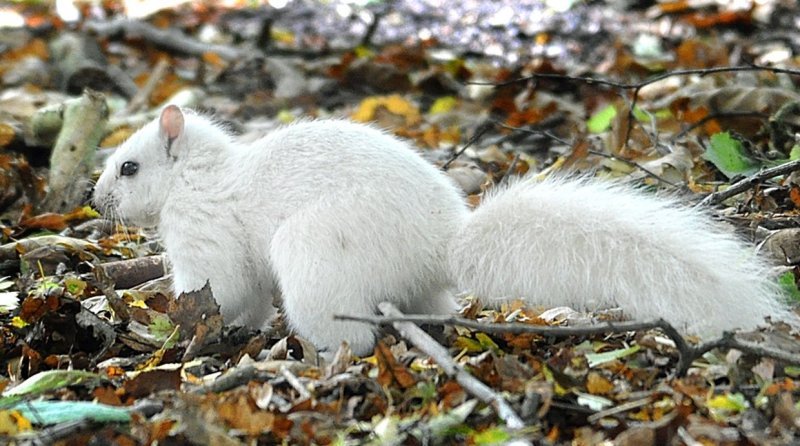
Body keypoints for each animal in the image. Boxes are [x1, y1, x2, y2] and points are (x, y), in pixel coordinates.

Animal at [92, 105, 792, 356]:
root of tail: (440, 250)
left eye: (129, 167)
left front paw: (176, 325)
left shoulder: (205, 233)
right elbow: (250, 300)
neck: (200, 175)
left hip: (316, 256)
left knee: (350, 339)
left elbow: (219, 288)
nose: (95, 201)